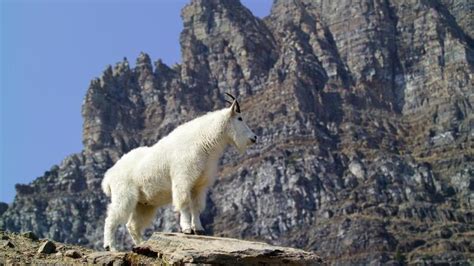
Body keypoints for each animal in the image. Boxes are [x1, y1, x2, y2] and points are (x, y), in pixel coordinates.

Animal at [100, 94, 256, 251]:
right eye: (240, 118)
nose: (254, 138)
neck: (204, 142)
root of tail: (109, 176)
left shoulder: (199, 185)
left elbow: (197, 206)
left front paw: (199, 229)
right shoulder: (183, 179)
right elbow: (184, 203)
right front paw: (187, 229)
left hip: (144, 204)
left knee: (132, 225)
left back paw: (142, 244)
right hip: (124, 195)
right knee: (111, 218)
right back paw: (111, 247)